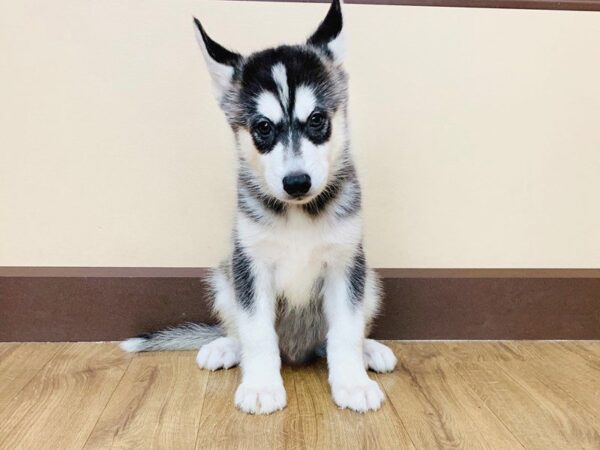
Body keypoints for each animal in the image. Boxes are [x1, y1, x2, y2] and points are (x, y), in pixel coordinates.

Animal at [119, 0, 396, 414]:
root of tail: (299, 351)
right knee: (239, 329)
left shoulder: (346, 265)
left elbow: (345, 332)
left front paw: (352, 382)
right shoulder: (250, 267)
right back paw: (224, 346)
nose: (296, 183)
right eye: (263, 127)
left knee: (339, 335)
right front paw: (262, 386)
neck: (298, 215)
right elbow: (257, 334)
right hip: (224, 279)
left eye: (317, 120)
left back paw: (370, 350)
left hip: (370, 281)